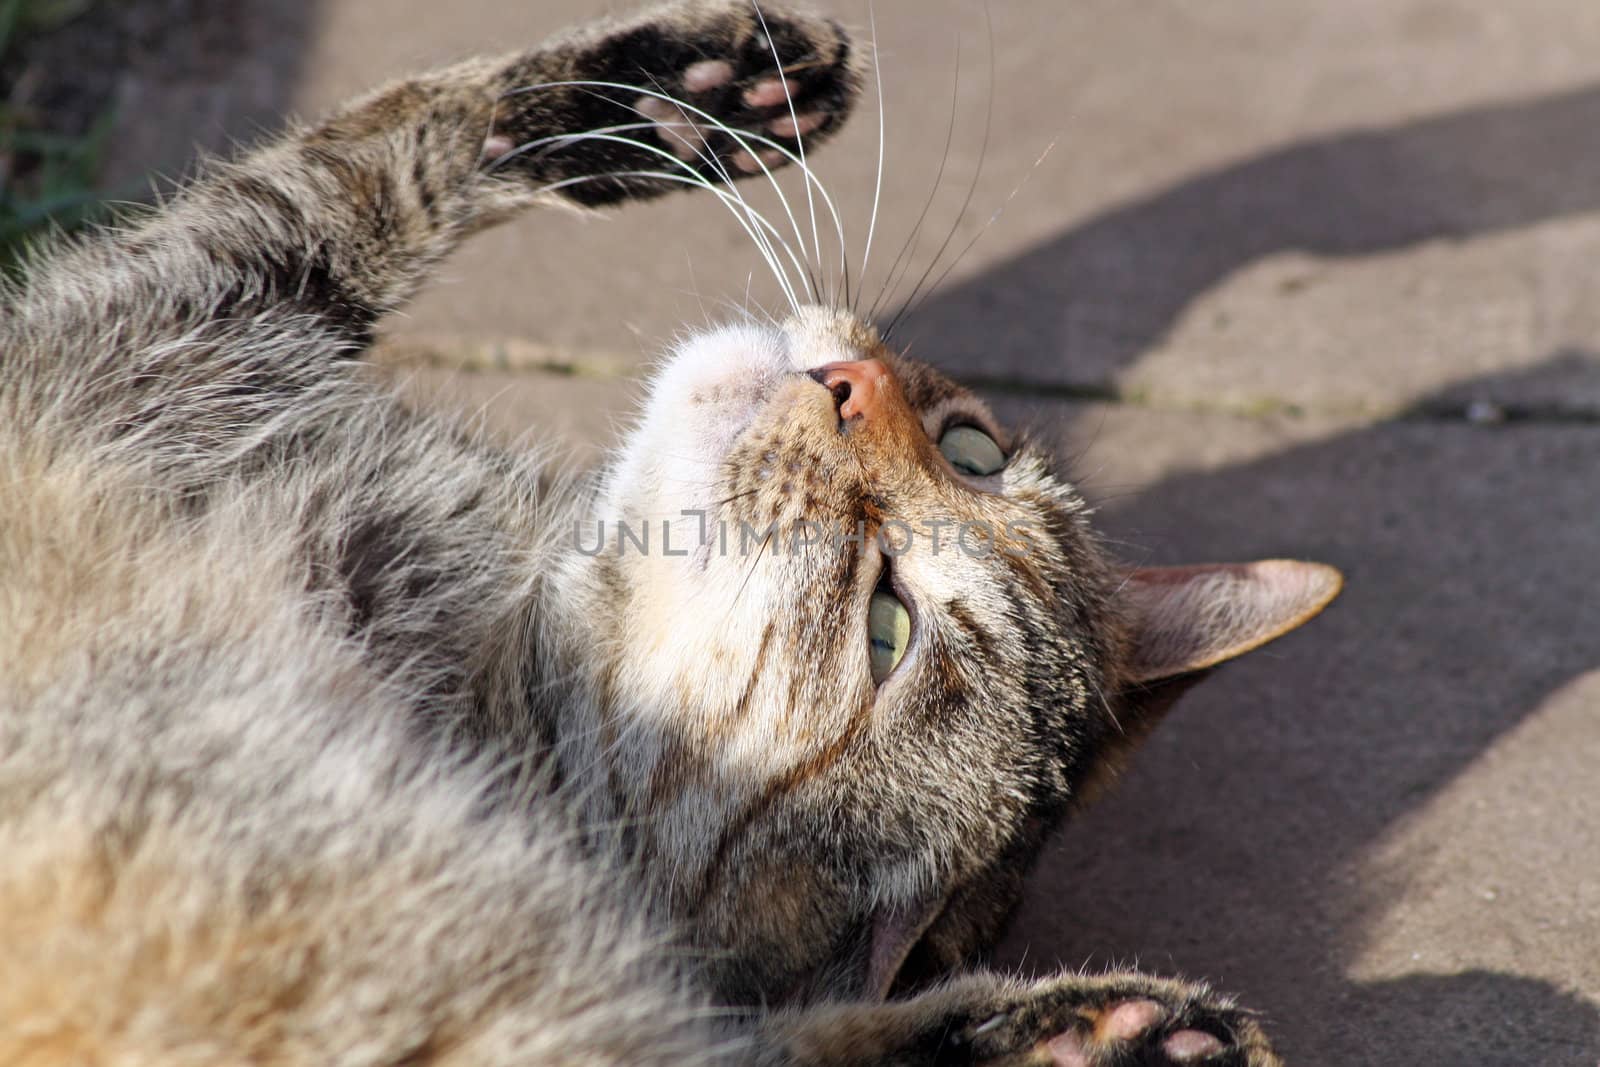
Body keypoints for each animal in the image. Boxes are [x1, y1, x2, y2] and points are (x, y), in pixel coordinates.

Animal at [0, 4, 1344, 1062]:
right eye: (969, 447)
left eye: (888, 621)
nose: (855, 383)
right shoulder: (178, 318)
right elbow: (386, 140)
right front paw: (677, 86)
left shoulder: (144, 312)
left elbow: (337, 170)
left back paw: (1084, 1037)